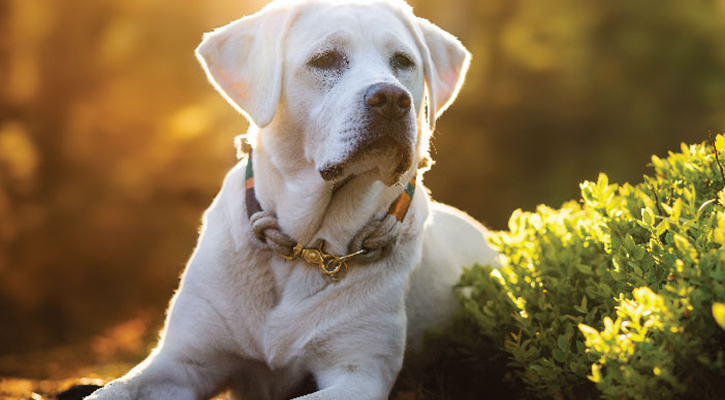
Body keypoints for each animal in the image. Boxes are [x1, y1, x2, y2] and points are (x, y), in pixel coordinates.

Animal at [86, 0, 498, 398]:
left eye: (403, 61)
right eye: (325, 60)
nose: (392, 98)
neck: (306, 246)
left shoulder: (360, 372)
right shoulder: (182, 361)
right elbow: (111, 390)